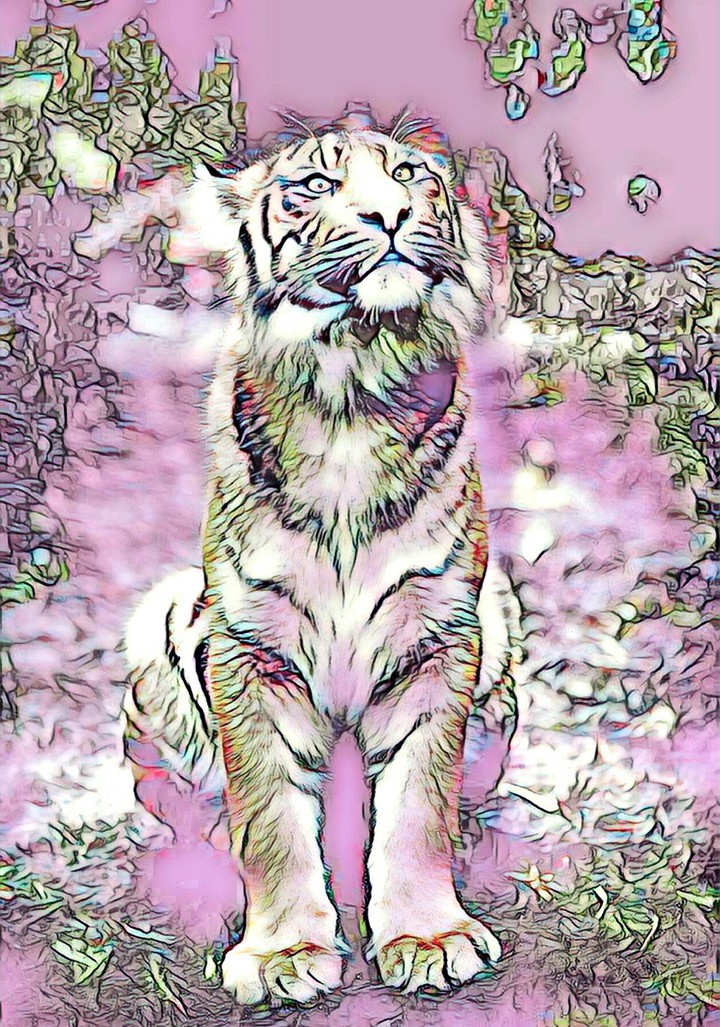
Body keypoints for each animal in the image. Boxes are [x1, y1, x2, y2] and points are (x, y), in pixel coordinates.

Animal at [123, 105, 504, 1004]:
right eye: (318, 186)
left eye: (409, 176)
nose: (389, 215)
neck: (352, 382)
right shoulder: (247, 645)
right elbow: (269, 812)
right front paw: (280, 954)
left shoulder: (440, 634)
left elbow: (418, 803)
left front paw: (429, 936)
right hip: (165, 609)